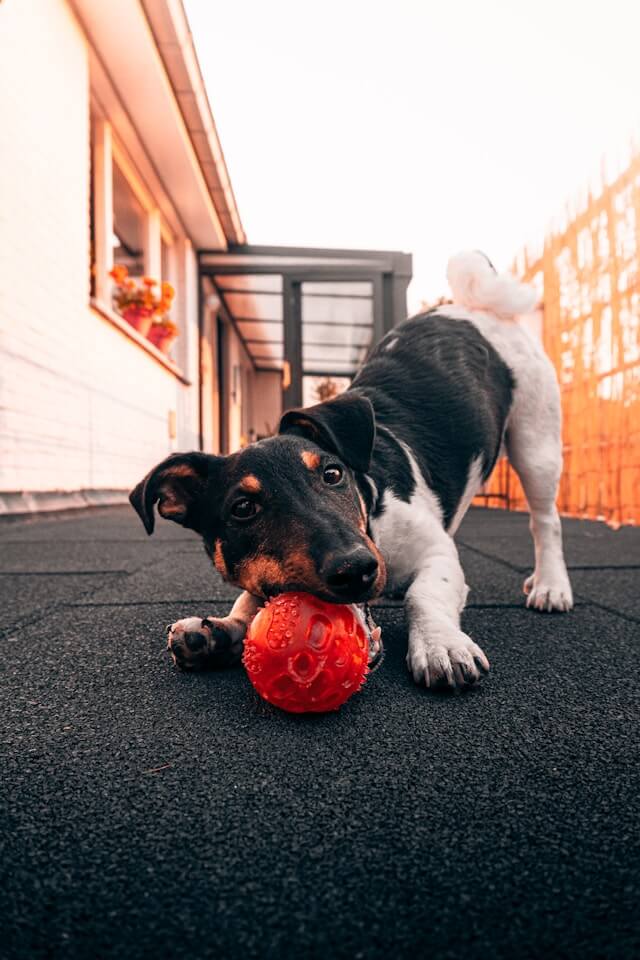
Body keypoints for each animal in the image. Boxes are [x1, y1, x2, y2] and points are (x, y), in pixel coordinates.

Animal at [131, 253, 576, 688]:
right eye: (242, 509)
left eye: (332, 475)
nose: (357, 568)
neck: (371, 509)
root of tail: (475, 307)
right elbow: (249, 601)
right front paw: (219, 630)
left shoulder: (436, 552)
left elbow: (424, 594)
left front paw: (440, 645)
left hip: (536, 443)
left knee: (546, 522)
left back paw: (550, 585)